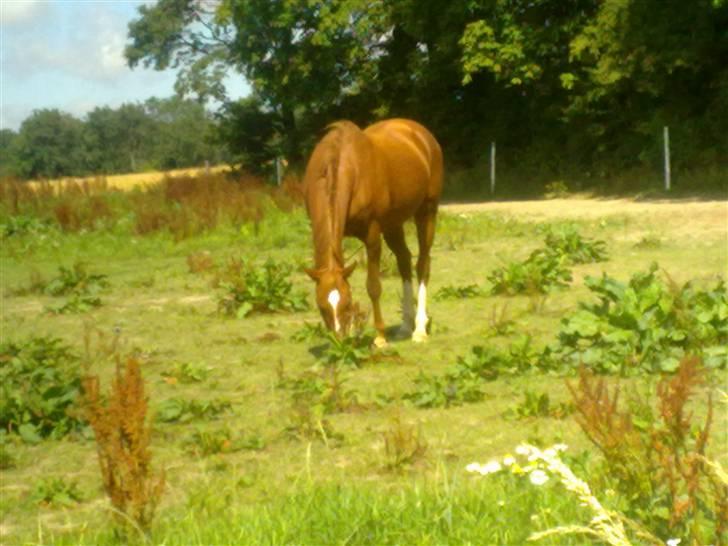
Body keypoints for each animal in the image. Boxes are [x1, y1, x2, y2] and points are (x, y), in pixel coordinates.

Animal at [303, 118, 443, 347]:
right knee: (404, 261)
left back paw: (419, 329)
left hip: (427, 211)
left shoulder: (372, 236)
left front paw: (379, 337)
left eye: (346, 303)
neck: (342, 165)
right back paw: (405, 326)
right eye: (322, 306)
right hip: (393, 223)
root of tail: (419, 132)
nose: (340, 342)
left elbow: (373, 286)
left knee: (422, 265)